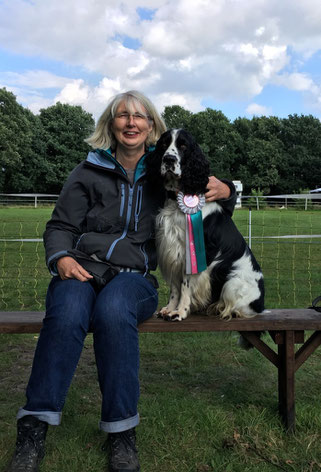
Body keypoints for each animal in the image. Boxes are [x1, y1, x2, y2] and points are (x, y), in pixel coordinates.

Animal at [146, 128, 264, 320]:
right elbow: (175, 287)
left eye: (183, 146)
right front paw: (169, 308)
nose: (169, 159)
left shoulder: (195, 252)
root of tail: (261, 303)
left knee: (239, 307)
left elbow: (186, 284)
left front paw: (180, 312)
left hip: (232, 282)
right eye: (164, 144)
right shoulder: (172, 249)